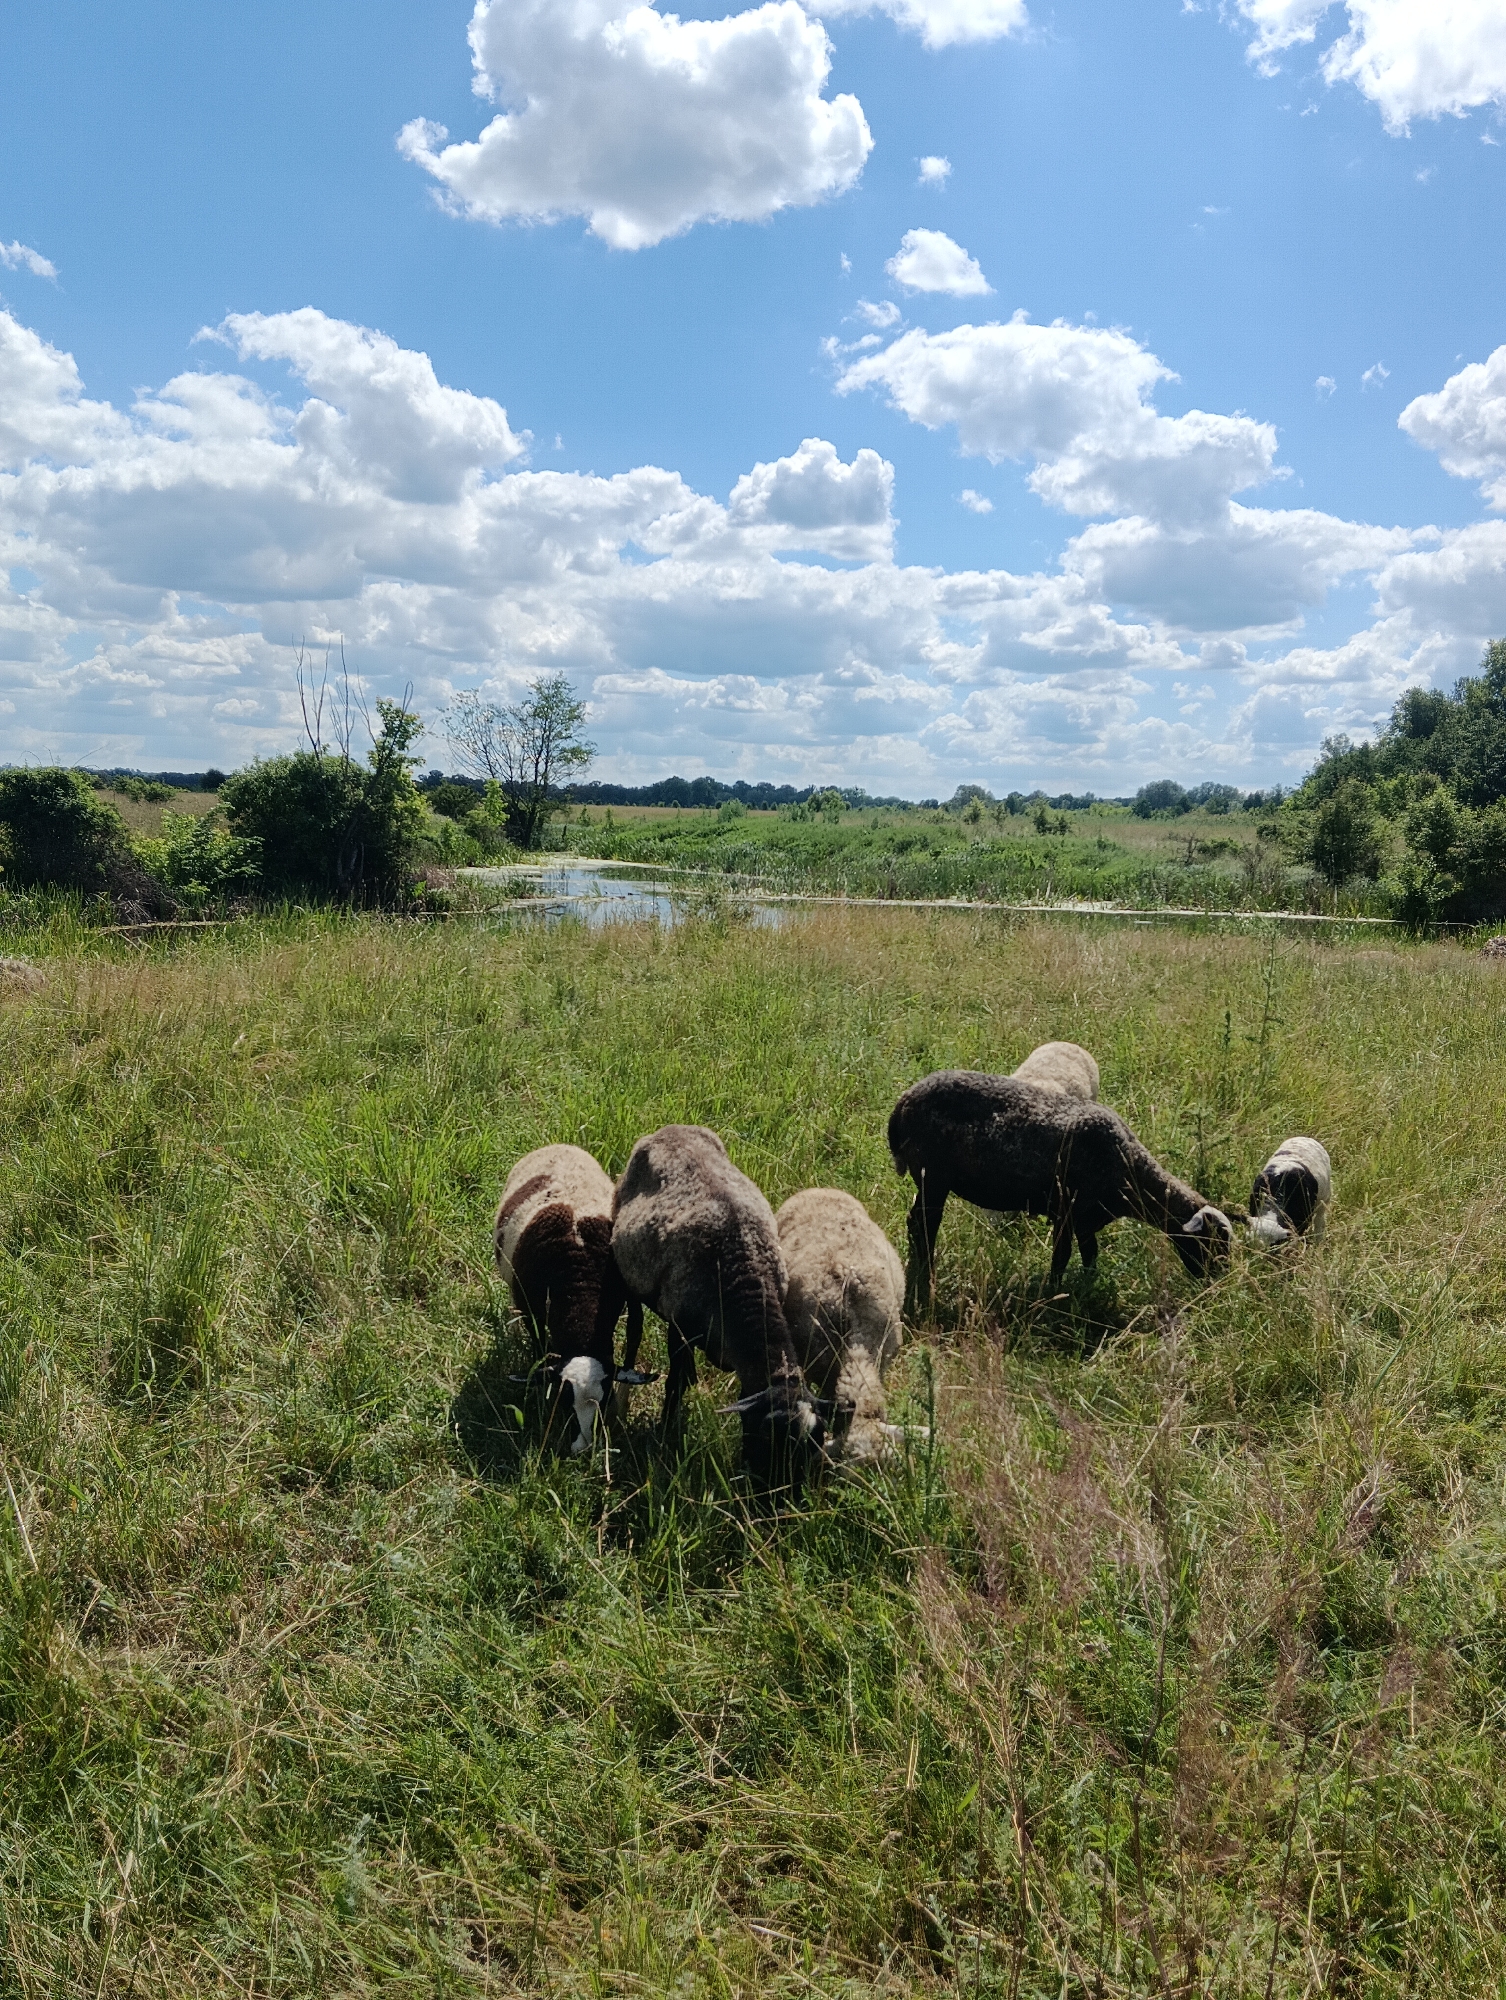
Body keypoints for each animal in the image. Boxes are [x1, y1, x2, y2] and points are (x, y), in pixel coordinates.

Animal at [494, 1143, 629, 1455]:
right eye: (564, 1401)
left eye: (606, 1400)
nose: (582, 1448)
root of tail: (559, 1145)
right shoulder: (530, 1309)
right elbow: (539, 1348)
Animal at [611, 1125, 826, 1480]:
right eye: (769, 1440)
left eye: (815, 1443)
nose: (787, 1495)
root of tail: (671, 1129)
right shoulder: (680, 1327)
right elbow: (675, 1383)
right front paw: (666, 1431)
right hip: (628, 1273)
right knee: (634, 1330)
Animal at [888, 1070, 1232, 1310]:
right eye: (1211, 1241)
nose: (1219, 1282)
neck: (1130, 1170)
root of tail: (902, 1104)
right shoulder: (1067, 1210)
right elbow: (1061, 1255)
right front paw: (1053, 1292)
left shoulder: (1086, 1219)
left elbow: (1090, 1254)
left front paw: (1087, 1286)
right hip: (933, 1176)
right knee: (924, 1225)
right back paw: (926, 1274)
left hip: (929, 1181)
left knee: (915, 1223)